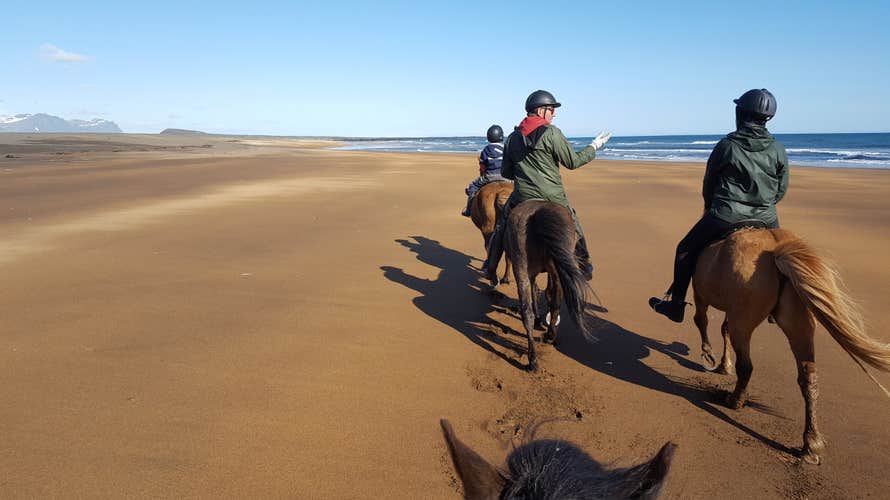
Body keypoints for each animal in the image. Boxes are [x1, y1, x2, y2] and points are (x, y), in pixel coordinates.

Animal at [503, 200, 594, 371]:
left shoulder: (534, 274)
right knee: (553, 303)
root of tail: (536, 213)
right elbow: (545, 294)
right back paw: (549, 338)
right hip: (554, 269)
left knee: (530, 311)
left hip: (523, 268)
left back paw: (533, 358)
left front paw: (539, 319)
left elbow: (539, 293)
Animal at [691, 227, 890, 464]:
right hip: (799, 323)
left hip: (744, 318)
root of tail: (776, 248)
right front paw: (723, 364)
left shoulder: (701, 294)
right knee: (809, 377)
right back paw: (811, 443)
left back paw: (735, 400)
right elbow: (723, 328)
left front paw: (710, 356)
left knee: (746, 365)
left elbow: (702, 321)